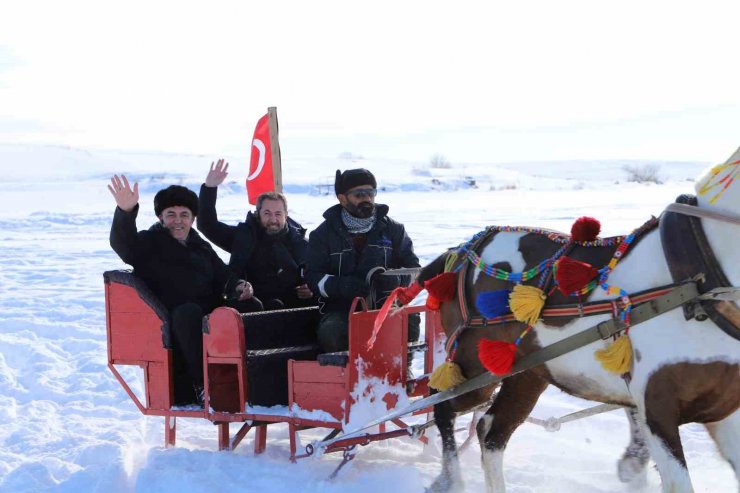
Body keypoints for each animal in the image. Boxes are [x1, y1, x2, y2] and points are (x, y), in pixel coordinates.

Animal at [416, 150, 740, 492]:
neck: (697, 278)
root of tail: (458, 252)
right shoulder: (657, 407)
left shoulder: (724, 408)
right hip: (473, 367)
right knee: (442, 405)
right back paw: (449, 479)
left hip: (527, 374)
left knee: (491, 432)